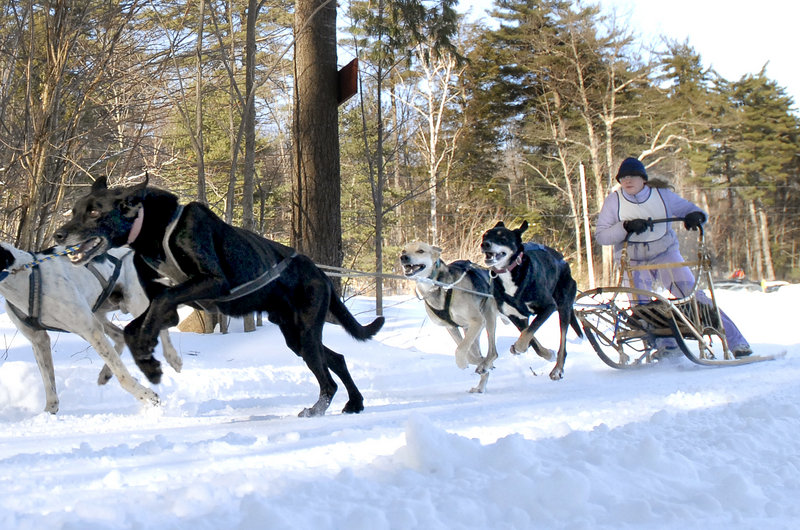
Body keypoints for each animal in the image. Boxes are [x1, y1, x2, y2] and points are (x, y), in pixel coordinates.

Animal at [0, 243, 180, 412]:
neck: (23, 275)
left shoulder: (90, 329)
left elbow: (122, 374)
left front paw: (146, 396)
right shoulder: (39, 340)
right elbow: (47, 380)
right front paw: (49, 410)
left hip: (135, 304)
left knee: (159, 321)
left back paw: (173, 357)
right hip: (98, 312)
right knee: (119, 336)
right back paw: (105, 373)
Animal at [54, 175, 384, 414]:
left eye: (94, 211)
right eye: (74, 210)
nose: (58, 234)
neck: (154, 232)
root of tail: (320, 273)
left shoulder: (212, 283)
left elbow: (160, 303)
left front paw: (147, 349)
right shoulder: (170, 301)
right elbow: (139, 323)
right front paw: (148, 363)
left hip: (304, 330)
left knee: (327, 379)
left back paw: (317, 409)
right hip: (294, 335)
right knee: (338, 358)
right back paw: (355, 403)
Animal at [482, 221, 580, 378]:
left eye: (503, 237)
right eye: (485, 235)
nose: (485, 244)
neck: (510, 272)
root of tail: (563, 261)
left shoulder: (548, 307)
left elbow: (530, 331)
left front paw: (519, 347)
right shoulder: (515, 316)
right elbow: (531, 338)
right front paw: (546, 353)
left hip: (563, 308)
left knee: (563, 342)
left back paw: (558, 369)